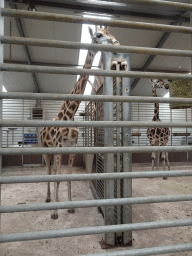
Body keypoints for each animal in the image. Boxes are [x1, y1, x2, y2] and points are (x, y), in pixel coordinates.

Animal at [39, 26, 120, 219]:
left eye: (110, 32)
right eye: (98, 34)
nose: (116, 43)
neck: (69, 114)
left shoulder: (72, 147)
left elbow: (67, 174)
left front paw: (69, 206)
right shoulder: (58, 146)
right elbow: (58, 175)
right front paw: (55, 212)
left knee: (54, 170)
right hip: (45, 149)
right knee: (49, 171)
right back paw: (48, 199)